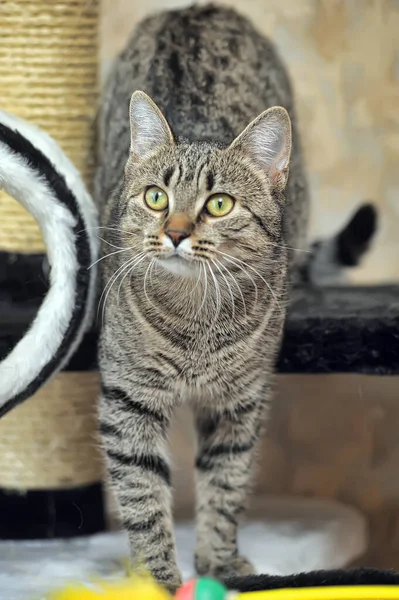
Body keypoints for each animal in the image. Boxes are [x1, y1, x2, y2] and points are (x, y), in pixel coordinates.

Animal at [94, 3, 368, 592]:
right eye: (156, 197)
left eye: (218, 204)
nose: (174, 232)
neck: (196, 316)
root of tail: (195, 8)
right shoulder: (128, 399)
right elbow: (143, 496)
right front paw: (158, 579)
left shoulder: (241, 401)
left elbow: (227, 483)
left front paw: (218, 562)